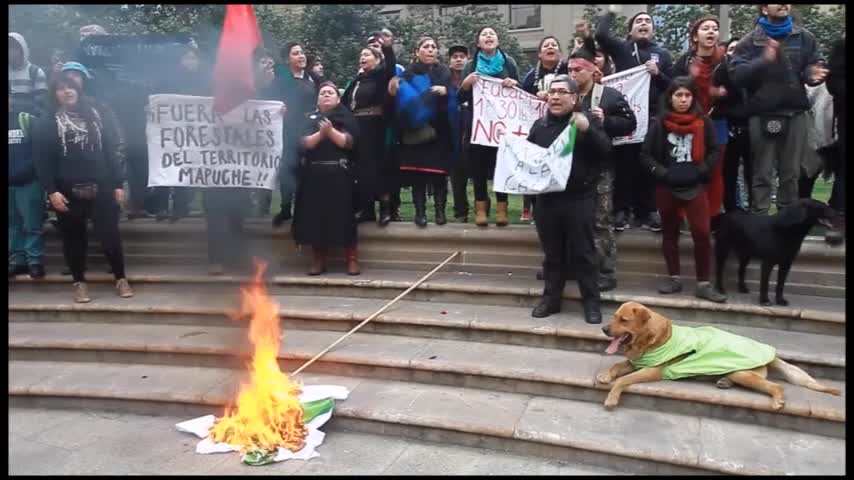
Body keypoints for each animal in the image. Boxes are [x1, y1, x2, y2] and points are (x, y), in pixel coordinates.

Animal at [600, 302, 844, 410]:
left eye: (623, 320)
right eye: (613, 316)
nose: (603, 328)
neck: (650, 339)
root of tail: (770, 353)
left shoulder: (652, 370)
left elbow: (623, 379)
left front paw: (612, 397)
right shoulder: (636, 362)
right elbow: (616, 367)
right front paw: (605, 375)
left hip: (743, 373)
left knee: (775, 385)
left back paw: (777, 399)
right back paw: (723, 382)